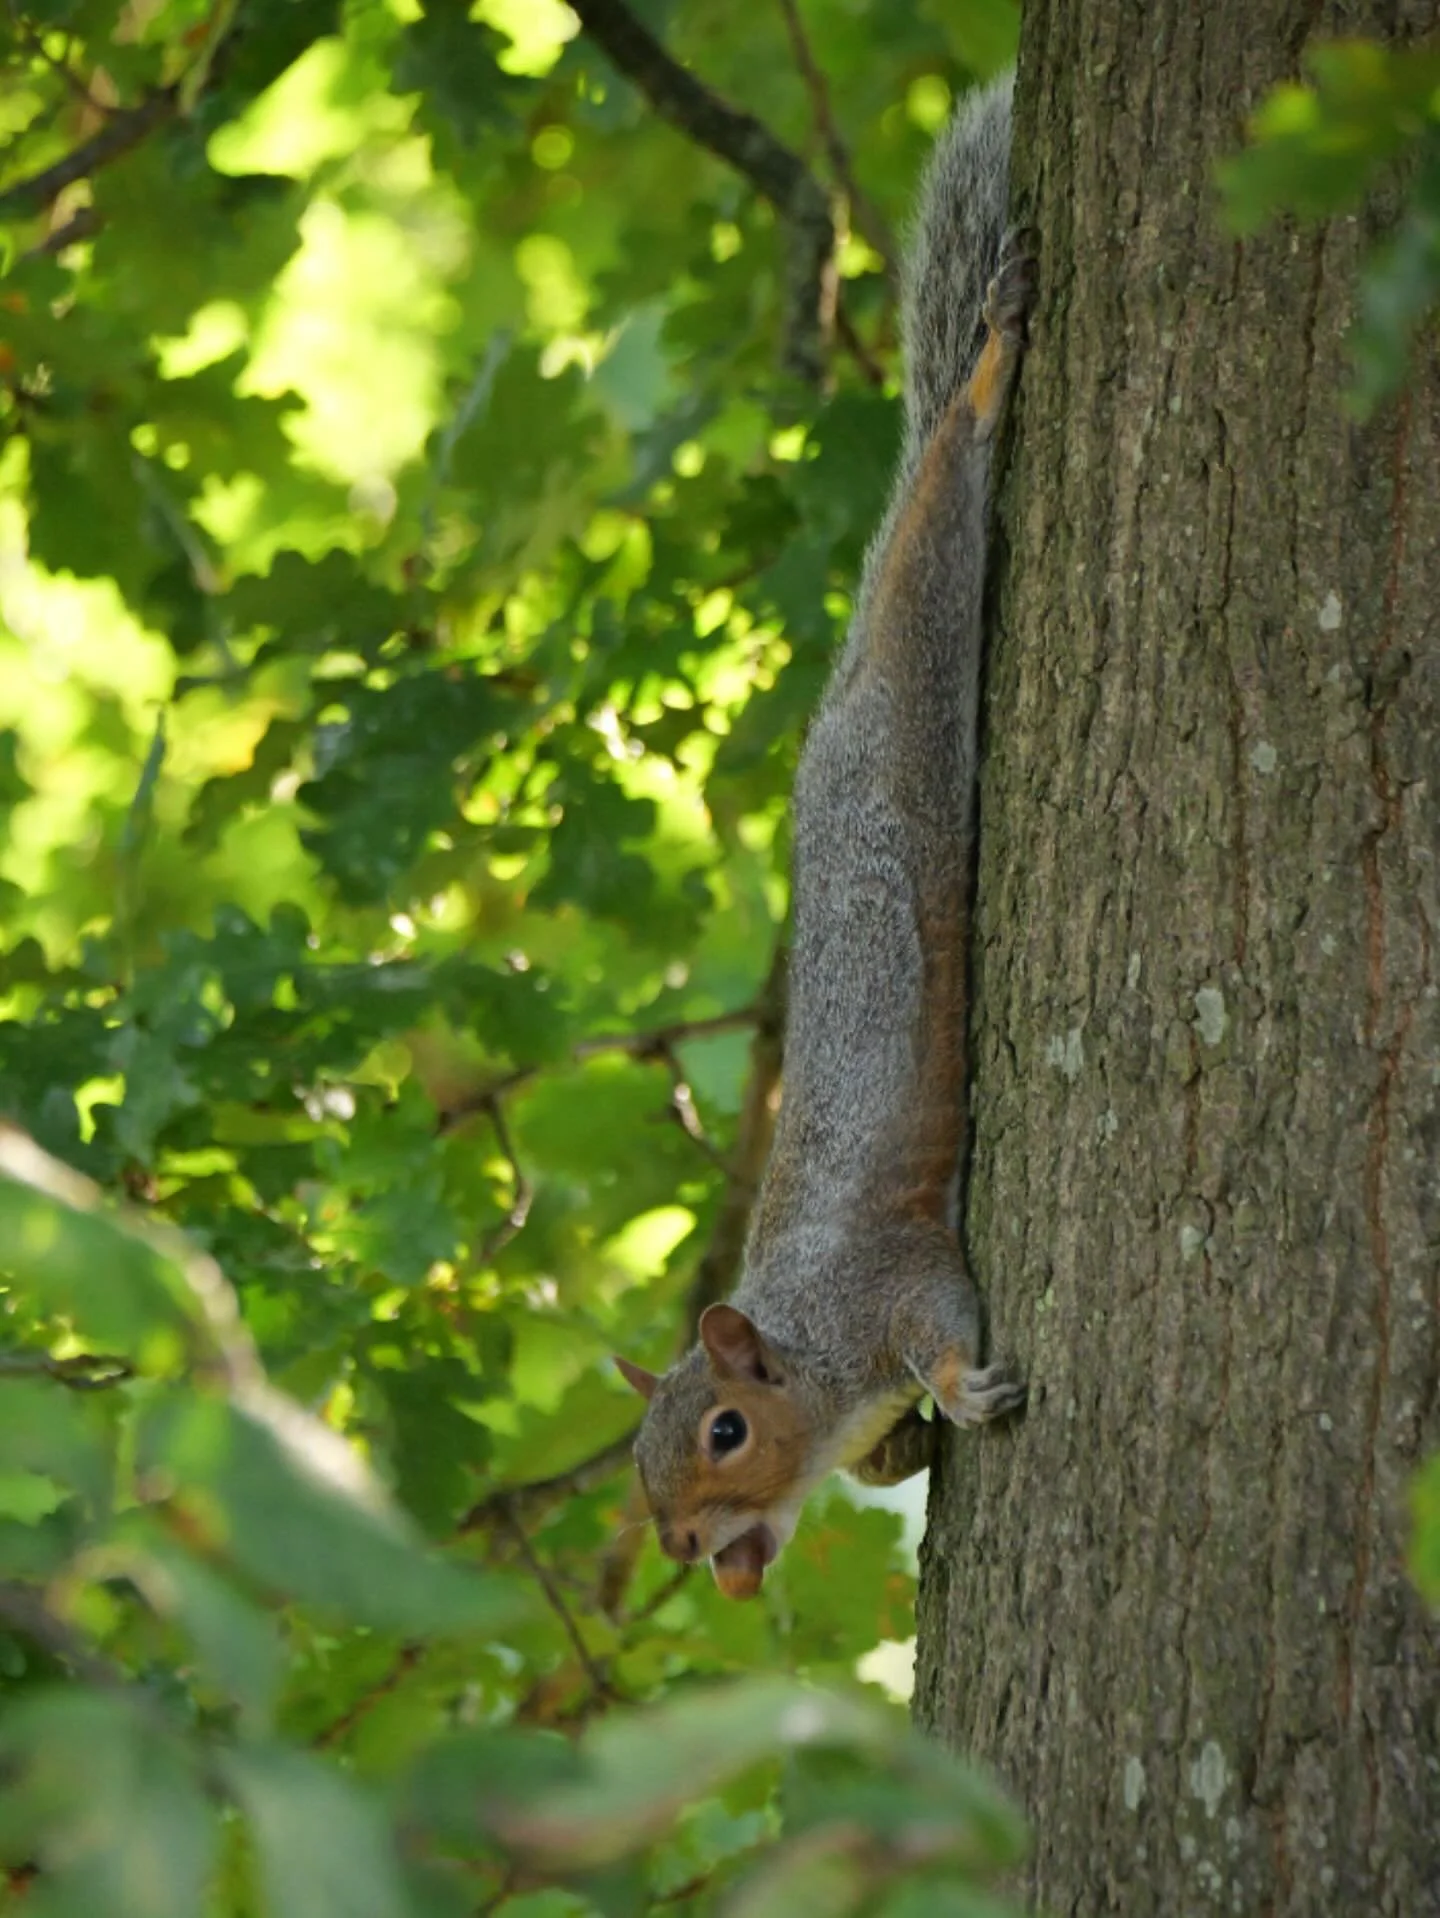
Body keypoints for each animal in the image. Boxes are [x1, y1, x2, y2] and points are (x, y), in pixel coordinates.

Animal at [616, 74, 1035, 1600]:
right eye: (647, 1469)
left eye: (726, 1430)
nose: (693, 1548)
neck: (803, 1337)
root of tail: (839, 707)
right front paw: (901, 1450)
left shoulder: (888, 1283)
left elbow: (946, 1316)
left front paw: (959, 1391)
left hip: (917, 681)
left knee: (943, 509)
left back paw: (986, 377)